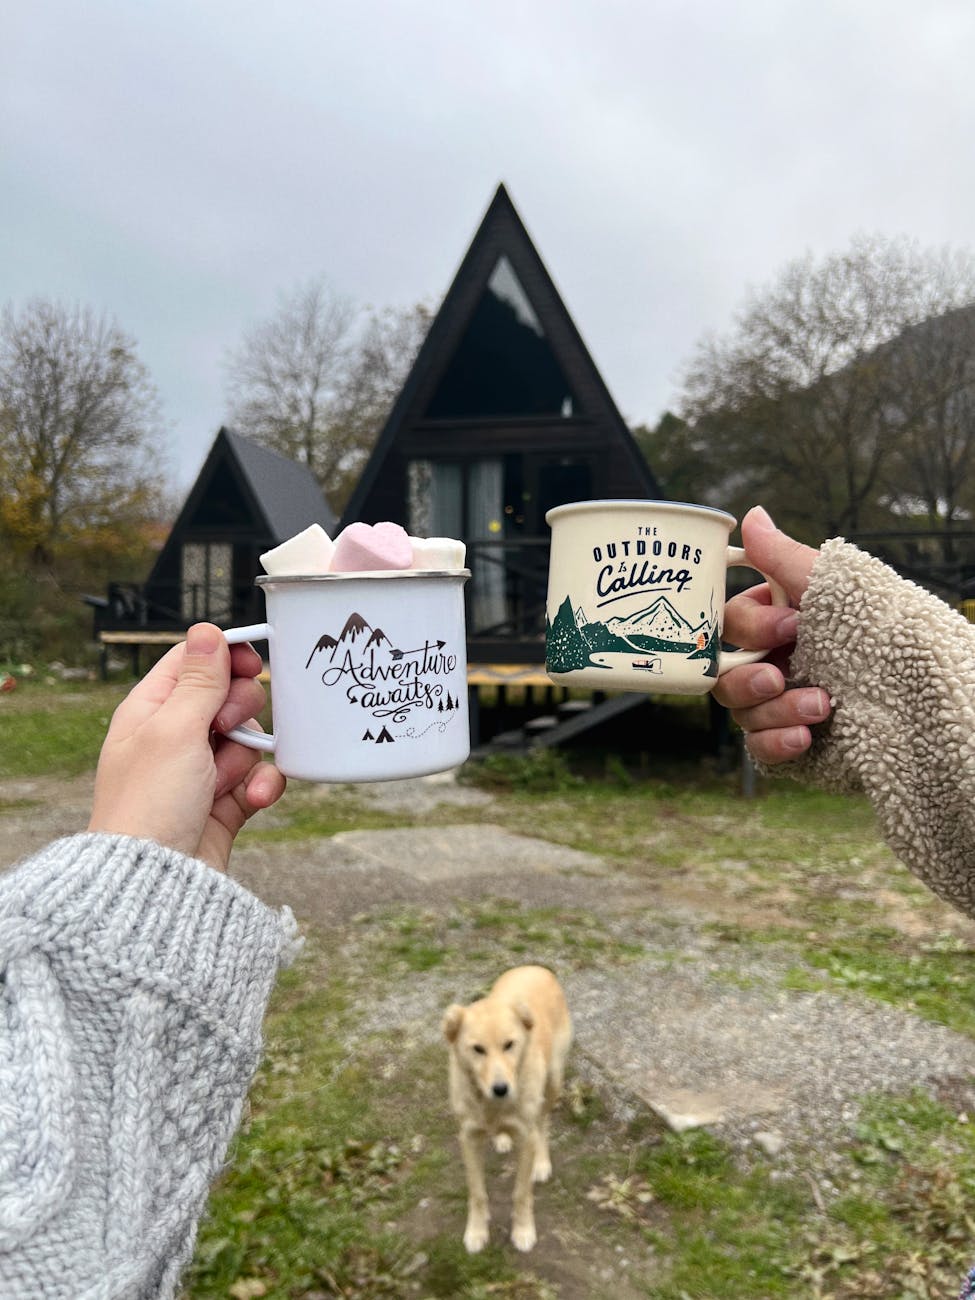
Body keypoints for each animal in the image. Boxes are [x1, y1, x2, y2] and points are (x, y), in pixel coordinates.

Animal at [444, 967, 572, 1248]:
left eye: (509, 1045)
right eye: (478, 1049)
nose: (501, 1089)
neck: (491, 1105)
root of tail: (535, 967)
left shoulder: (525, 1137)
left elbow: (521, 1193)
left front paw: (523, 1230)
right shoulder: (468, 1138)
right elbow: (477, 1192)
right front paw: (476, 1231)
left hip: (554, 1081)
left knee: (543, 1122)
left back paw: (541, 1162)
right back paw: (501, 1138)